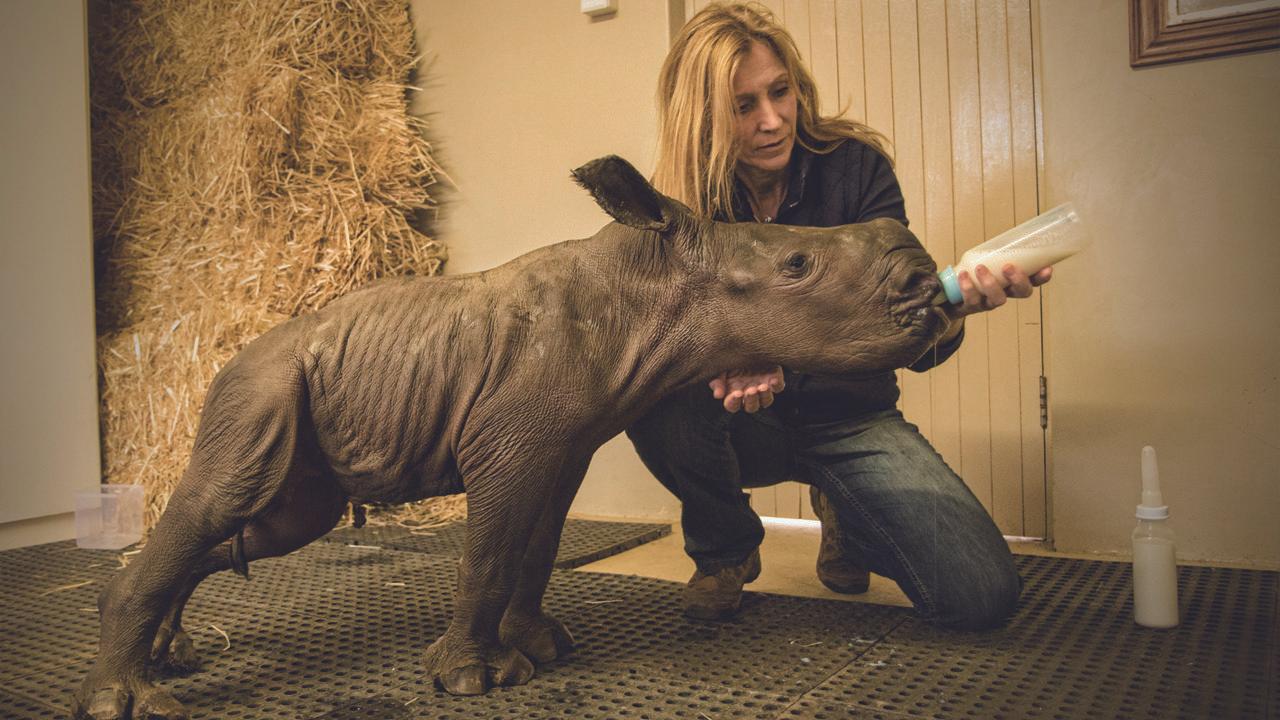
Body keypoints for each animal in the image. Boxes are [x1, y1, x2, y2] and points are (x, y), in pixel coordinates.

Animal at [72, 155, 949, 719]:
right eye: (798, 264)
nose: (925, 287)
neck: (649, 287)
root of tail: (228, 355)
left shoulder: (560, 446)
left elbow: (535, 548)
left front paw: (541, 648)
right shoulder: (511, 445)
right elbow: (490, 555)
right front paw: (468, 681)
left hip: (296, 404)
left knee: (270, 524)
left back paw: (169, 652)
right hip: (259, 386)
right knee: (228, 500)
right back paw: (129, 699)